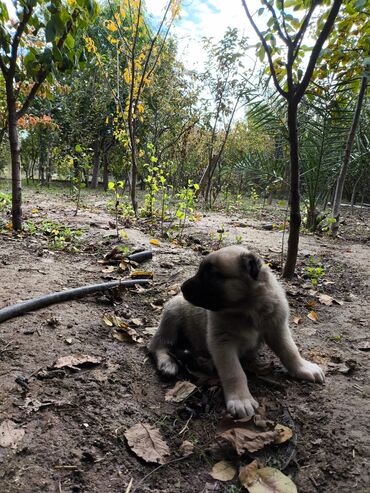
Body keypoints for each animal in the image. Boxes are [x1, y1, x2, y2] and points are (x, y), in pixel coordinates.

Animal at [150, 246, 324, 416]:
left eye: (211, 274)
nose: (182, 288)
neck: (248, 310)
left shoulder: (277, 328)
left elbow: (290, 351)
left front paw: (303, 368)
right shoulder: (222, 342)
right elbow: (234, 372)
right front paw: (241, 399)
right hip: (172, 315)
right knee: (157, 345)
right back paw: (168, 363)